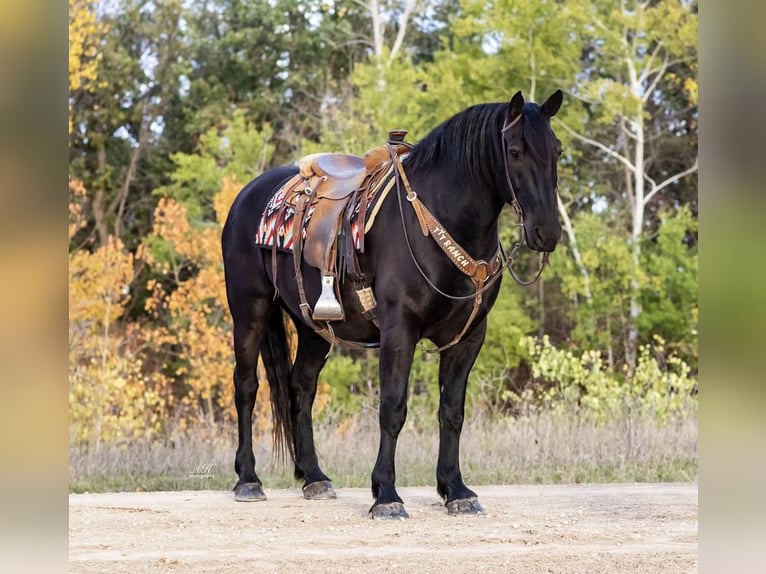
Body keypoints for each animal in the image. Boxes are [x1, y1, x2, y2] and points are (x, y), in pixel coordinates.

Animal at [220, 90, 564, 520]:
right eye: (515, 151)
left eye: (557, 150)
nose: (547, 232)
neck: (437, 220)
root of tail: (246, 198)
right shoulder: (399, 330)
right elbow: (393, 408)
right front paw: (385, 494)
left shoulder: (469, 337)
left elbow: (452, 411)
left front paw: (456, 489)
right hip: (249, 312)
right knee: (246, 387)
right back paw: (247, 478)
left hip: (314, 327)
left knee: (301, 387)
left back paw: (314, 476)